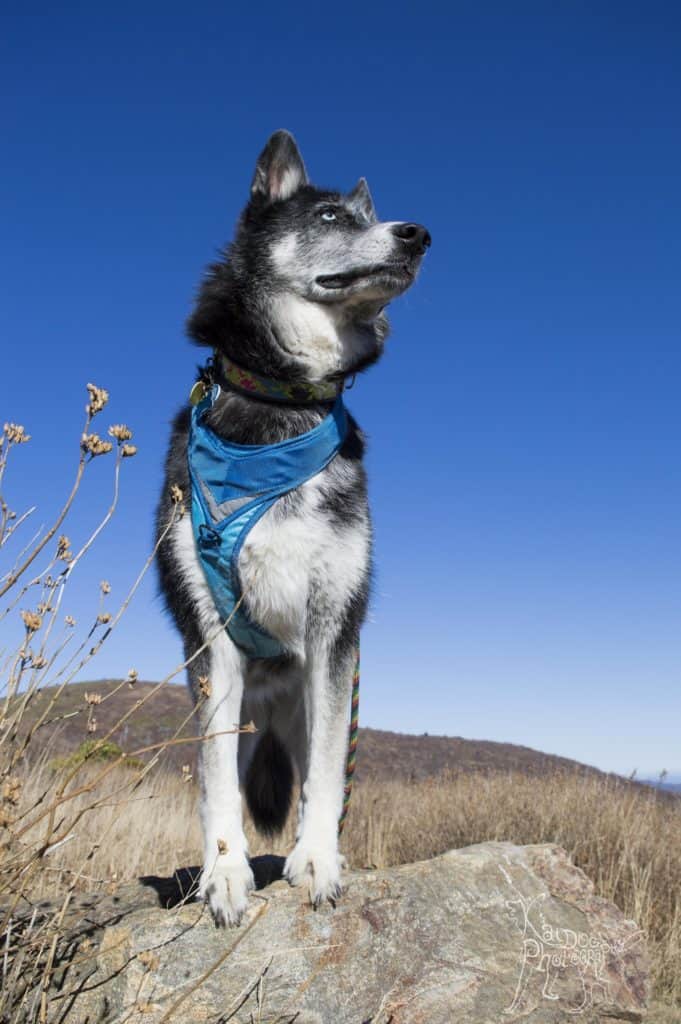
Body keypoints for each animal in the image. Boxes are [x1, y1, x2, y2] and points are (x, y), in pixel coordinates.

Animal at [156, 132, 428, 925]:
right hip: (246, 710)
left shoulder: (337, 628)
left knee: (315, 773)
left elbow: (331, 775)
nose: (418, 234)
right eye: (331, 215)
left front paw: (316, 860)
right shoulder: (210, 637)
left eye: (365, 213)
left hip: (308, 704)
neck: (280, 411)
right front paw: (223, 873)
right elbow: (213, 779)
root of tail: (275, 708)